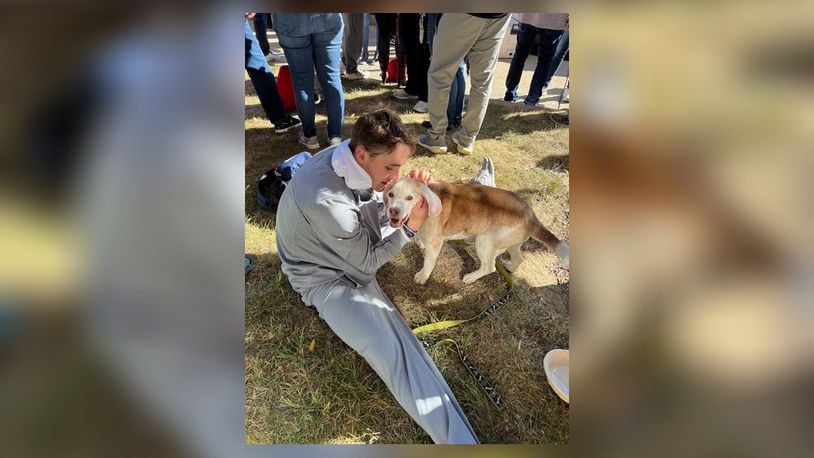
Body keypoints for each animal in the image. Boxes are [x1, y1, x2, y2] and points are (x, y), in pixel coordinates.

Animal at [386, 177, 572, 284]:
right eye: (390, 195)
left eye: (409, 198)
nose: (393, 211)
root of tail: (531, 216)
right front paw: (419, 242)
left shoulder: (436, 243)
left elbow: (429, 262)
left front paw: (422, 277)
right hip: (511, 242)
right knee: (519, 258)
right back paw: (510, 267)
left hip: (483, 242)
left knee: (490, 267)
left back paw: (470, 278)